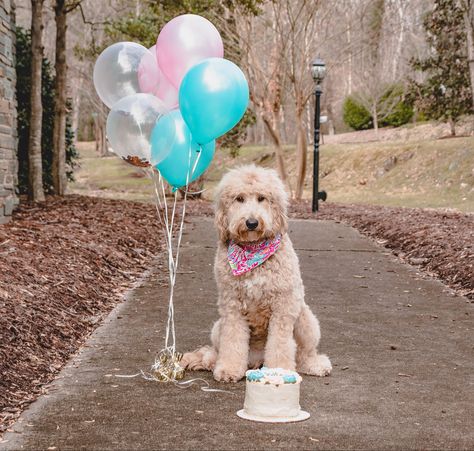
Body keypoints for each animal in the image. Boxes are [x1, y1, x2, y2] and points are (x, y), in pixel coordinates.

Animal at [180, 164, 332, 384]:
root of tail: (258, 360)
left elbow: (280, 345)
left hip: (306, 321)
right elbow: (233, 341)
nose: (251, 222)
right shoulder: (232, 307)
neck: (253, 251)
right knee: (215, 351)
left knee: (303, 354)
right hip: (218, 328)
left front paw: (279, 370)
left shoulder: (283, 307)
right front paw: (228, 369)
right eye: (239, 199)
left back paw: (315, 365)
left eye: (262, 198)